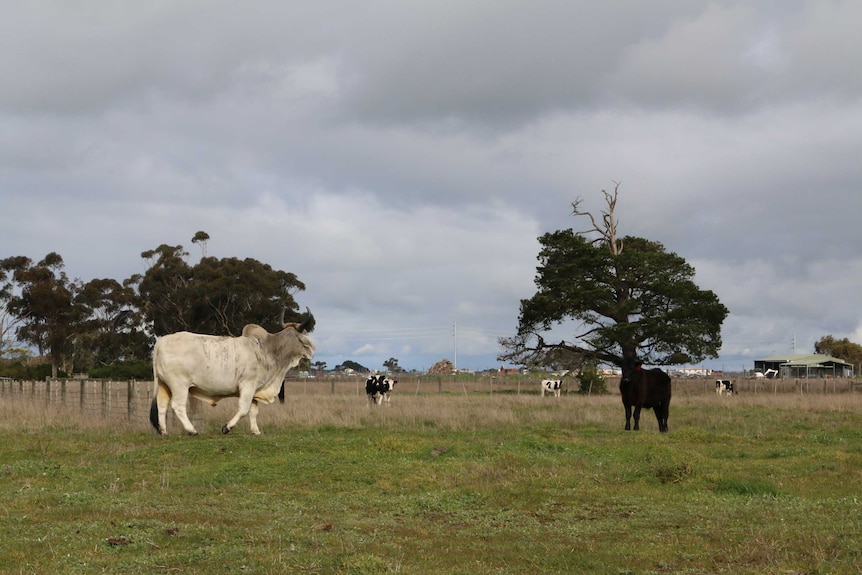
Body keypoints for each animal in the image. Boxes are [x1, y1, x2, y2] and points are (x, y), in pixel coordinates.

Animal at [150, 308, 316, 434]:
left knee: (162, 405)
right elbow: (243, 409)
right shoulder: (248, 386)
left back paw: (164, 431)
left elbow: (253, 411)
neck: (268, 350)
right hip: (179, 386)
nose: (312, 351)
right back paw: (192, 430)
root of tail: (161, 342)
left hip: (165, 385)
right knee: (177, 406)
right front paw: (227, 427)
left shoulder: (255, 389)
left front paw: (256, 431)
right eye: (303, 335)